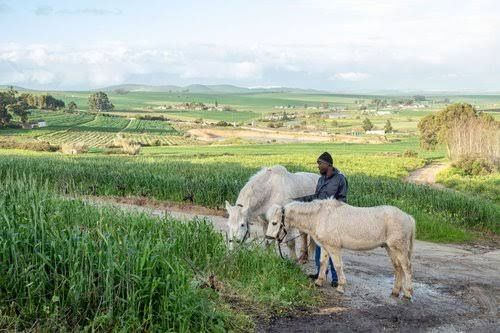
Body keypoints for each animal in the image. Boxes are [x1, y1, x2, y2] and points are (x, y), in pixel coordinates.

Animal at [268, 197, 416, 298]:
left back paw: (408, 293)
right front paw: (319, 282)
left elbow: (338, 266)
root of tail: (408, 217)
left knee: (406, 268)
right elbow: (323, 263)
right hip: (390, 248)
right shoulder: (325, 247)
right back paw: (395, 291)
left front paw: (340, 286)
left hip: (400, 249)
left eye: (274, 223)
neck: (321, 216)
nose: (268, 238)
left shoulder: (334, 248)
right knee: (398, 268)